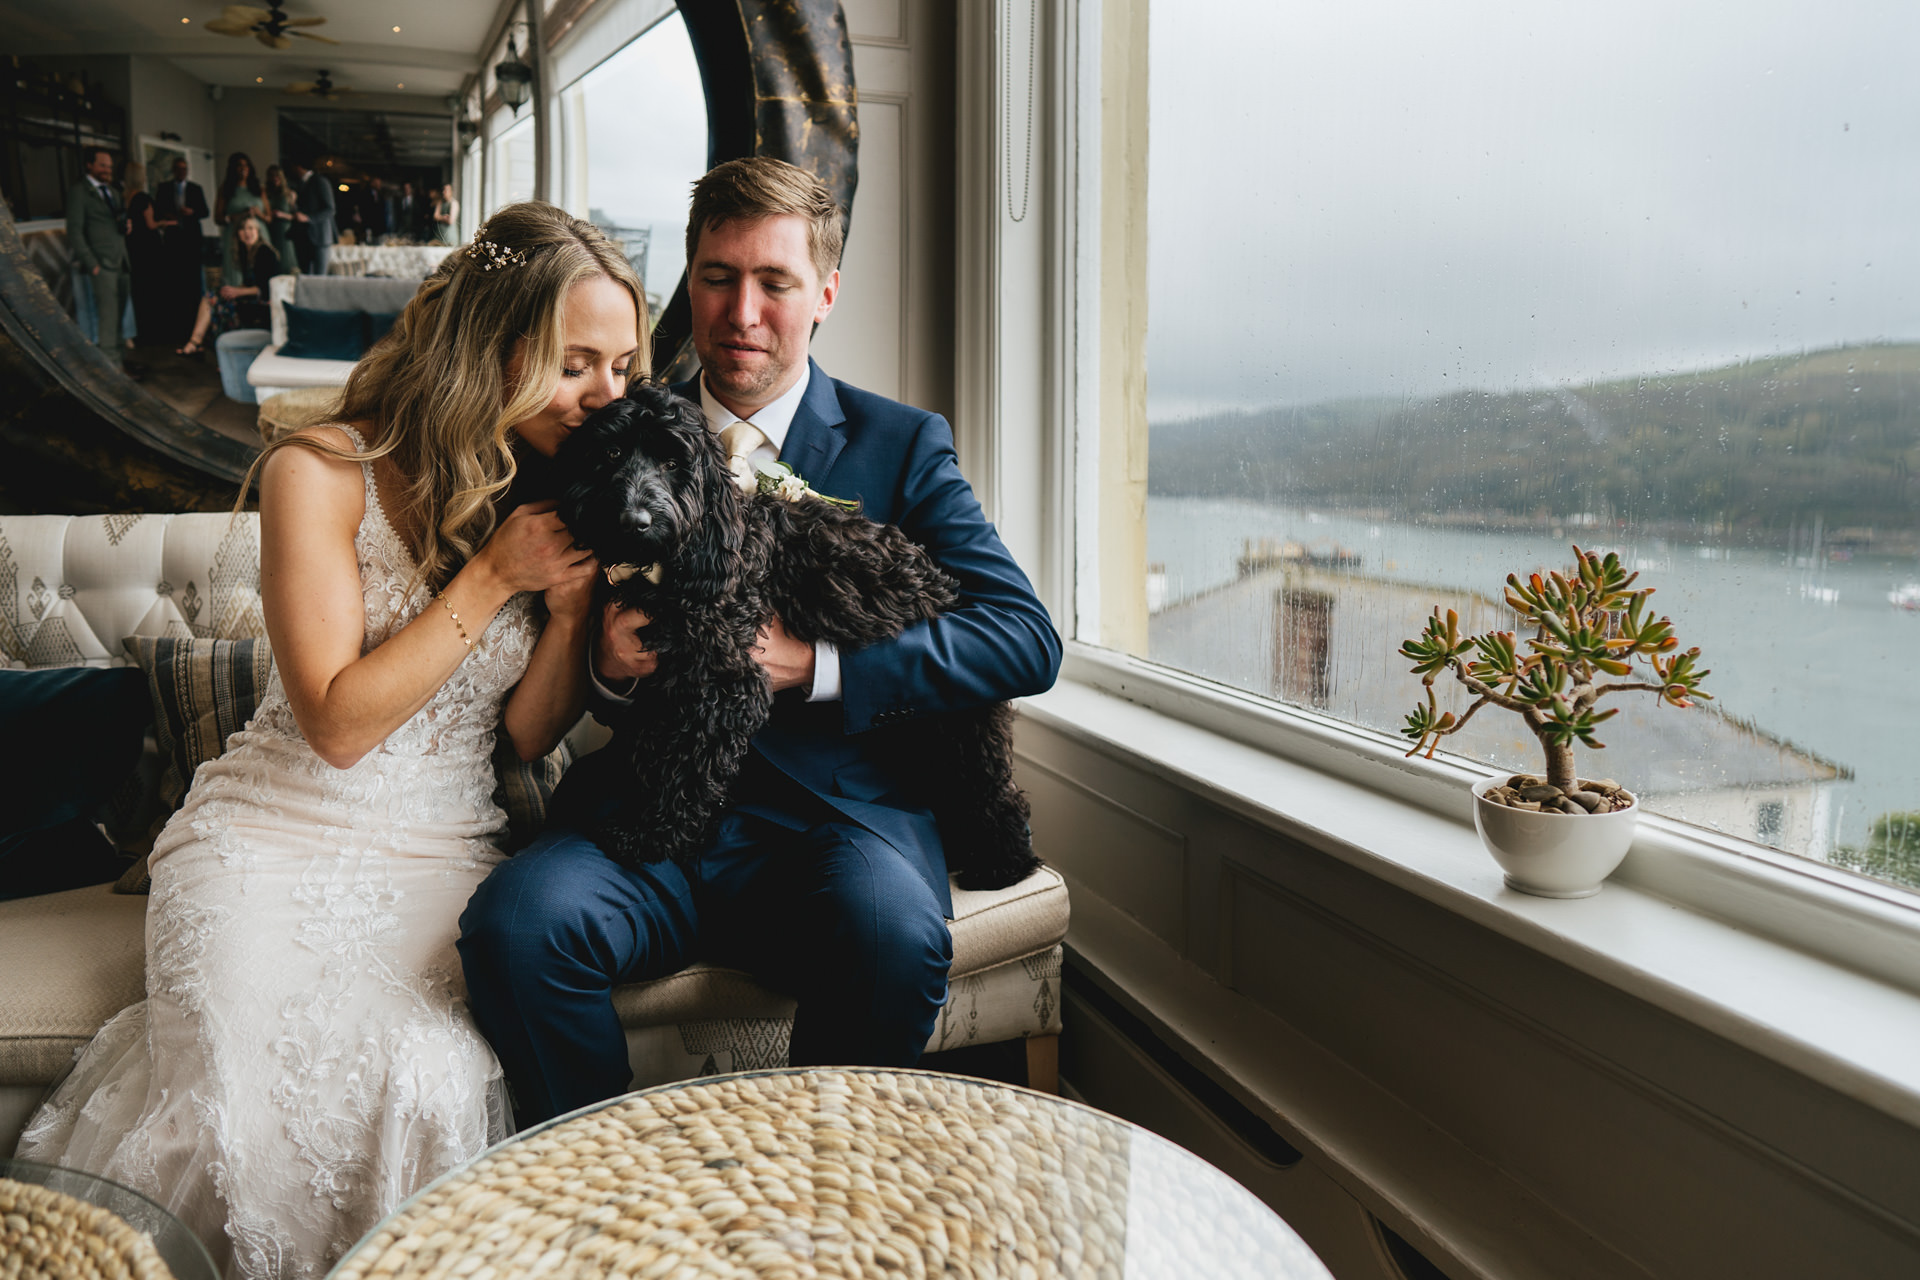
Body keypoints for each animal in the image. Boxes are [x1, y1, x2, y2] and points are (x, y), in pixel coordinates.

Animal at [549, 385, 1044, 898]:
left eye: (672, 462)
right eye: (611, 453)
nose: (635, 520)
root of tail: (946, 589)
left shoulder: (724, 684)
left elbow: (686, 767)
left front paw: (653, 836)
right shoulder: (665, 684)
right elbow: (654, 746)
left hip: (959, 726)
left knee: (993, 791)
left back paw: (1002, 863)